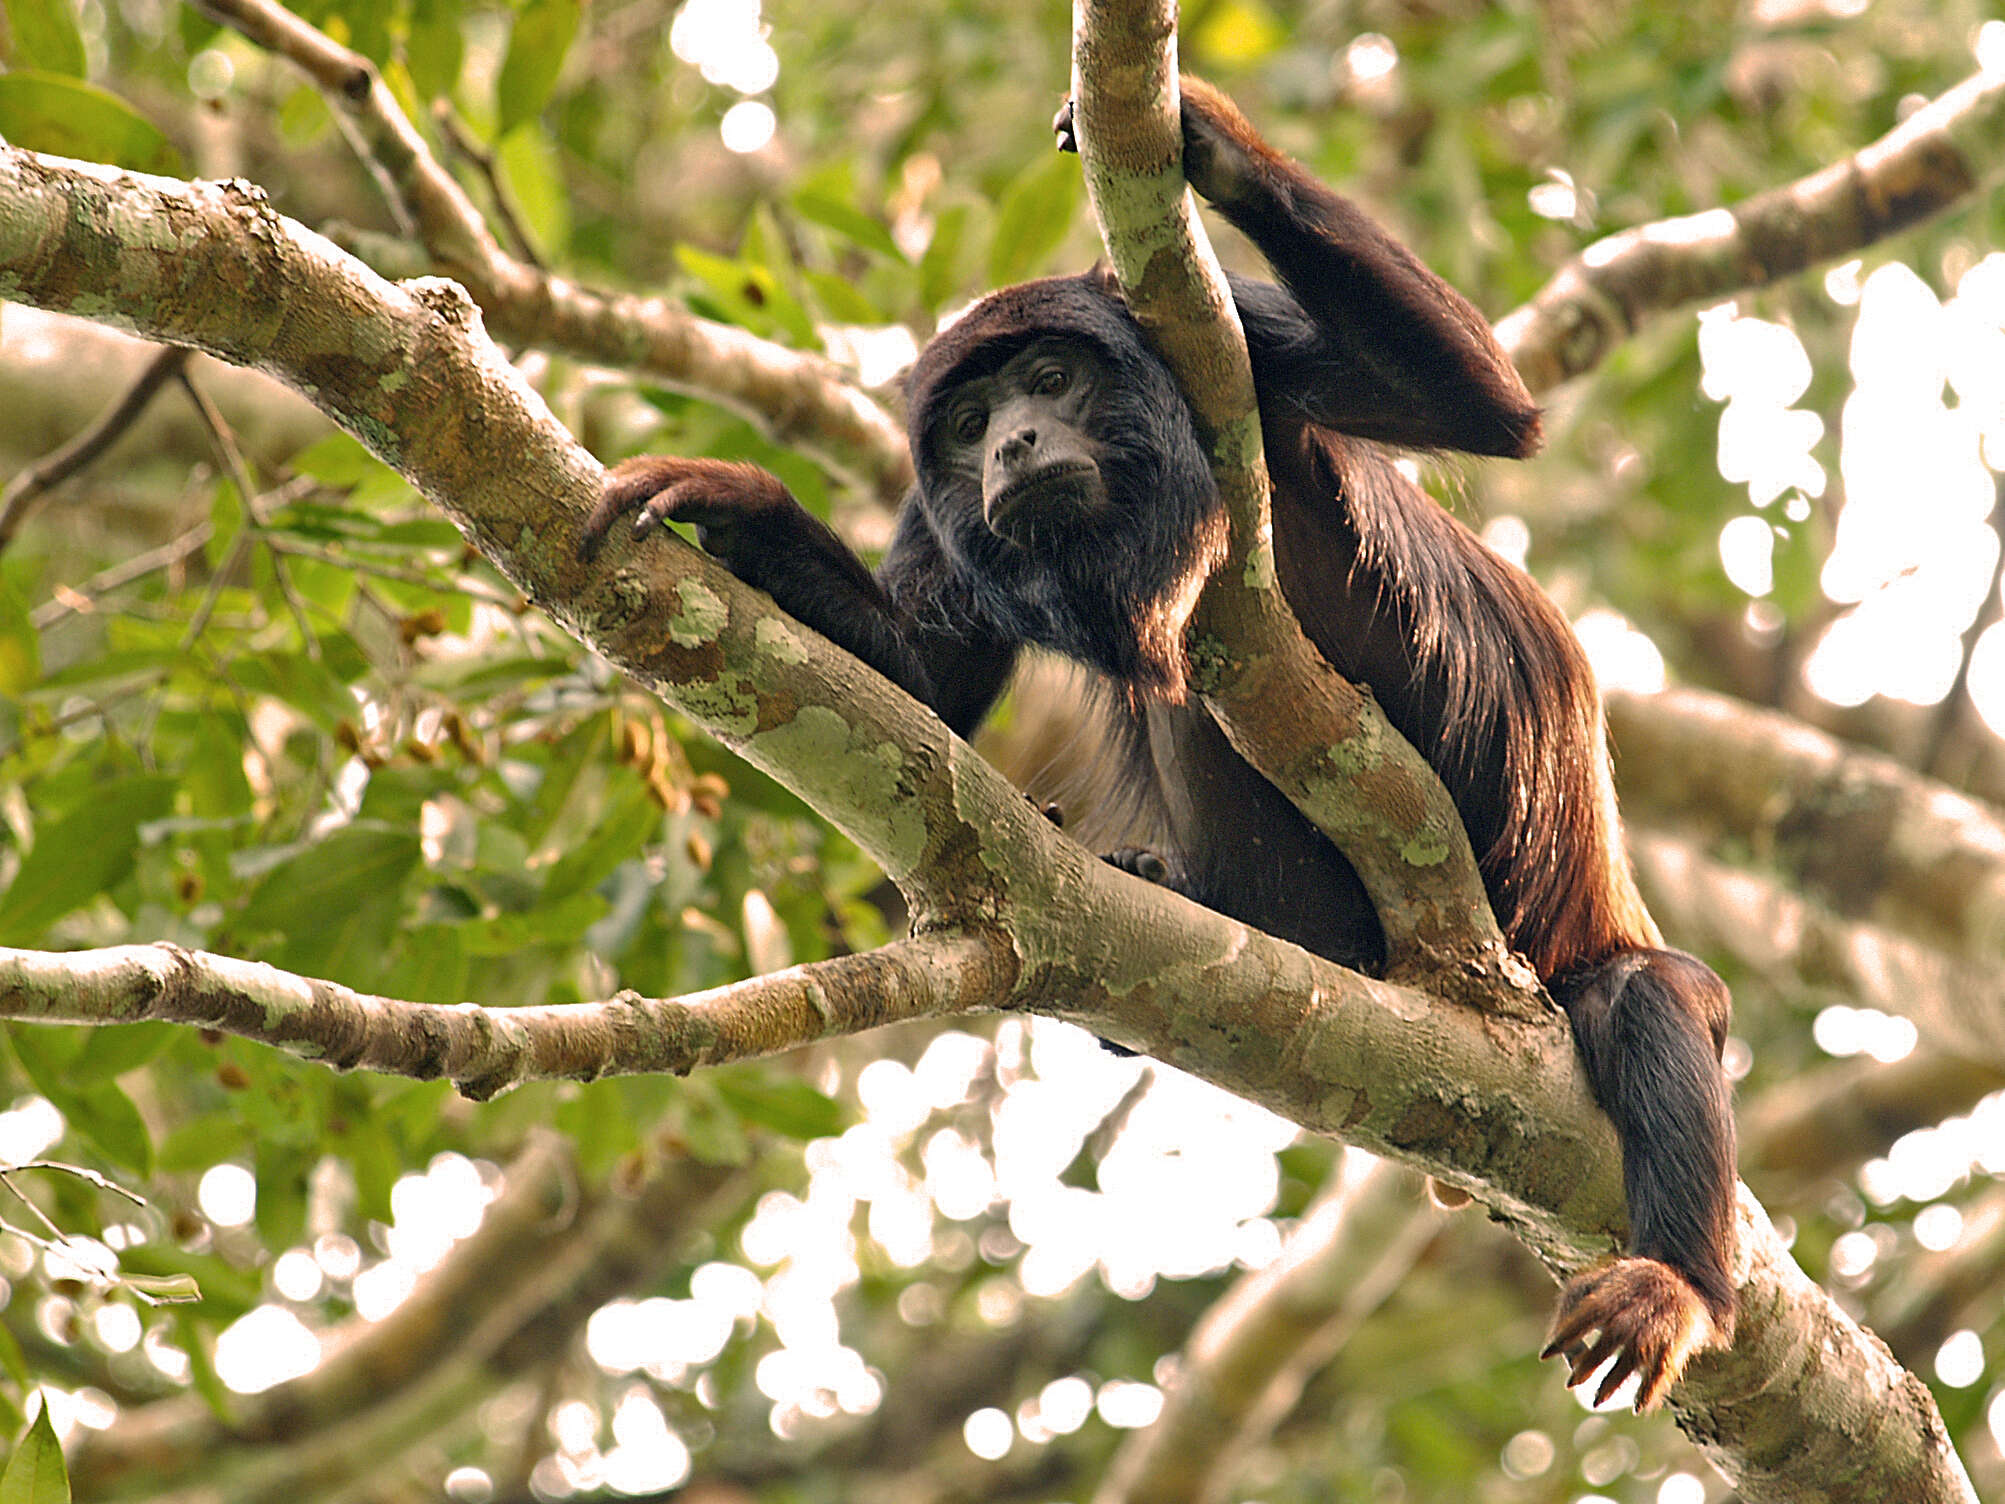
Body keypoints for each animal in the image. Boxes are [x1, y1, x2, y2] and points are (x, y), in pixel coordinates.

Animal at [581, 79, 1740, 1411]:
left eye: (1050, 376)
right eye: (970, 420)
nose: (1015, 445)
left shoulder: (1237, 337)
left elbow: (1482, 404)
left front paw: (1210, 140)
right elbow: (920, 675)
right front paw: (741, 505)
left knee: (1653, 996)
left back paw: (1677, 1283)